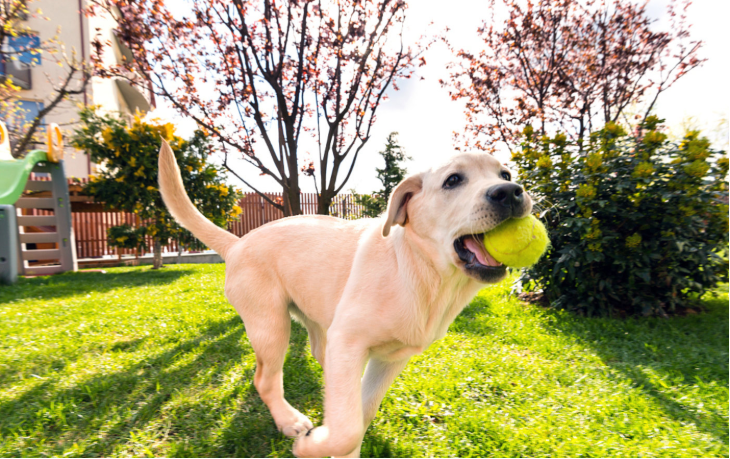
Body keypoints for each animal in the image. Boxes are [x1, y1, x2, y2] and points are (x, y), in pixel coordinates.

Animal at [158, 142, 528, 458]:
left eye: (505, 174)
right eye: (453, 180)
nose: (510, 192)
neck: (420, 272)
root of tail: (237, 243)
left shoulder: (389, 359)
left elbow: (360, 412)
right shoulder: (350, 341)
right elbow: (347, 428)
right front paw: (313, 444)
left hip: (318, 325)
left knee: (323, 364)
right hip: (271, 325)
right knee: (265, 380)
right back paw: (290, 422)